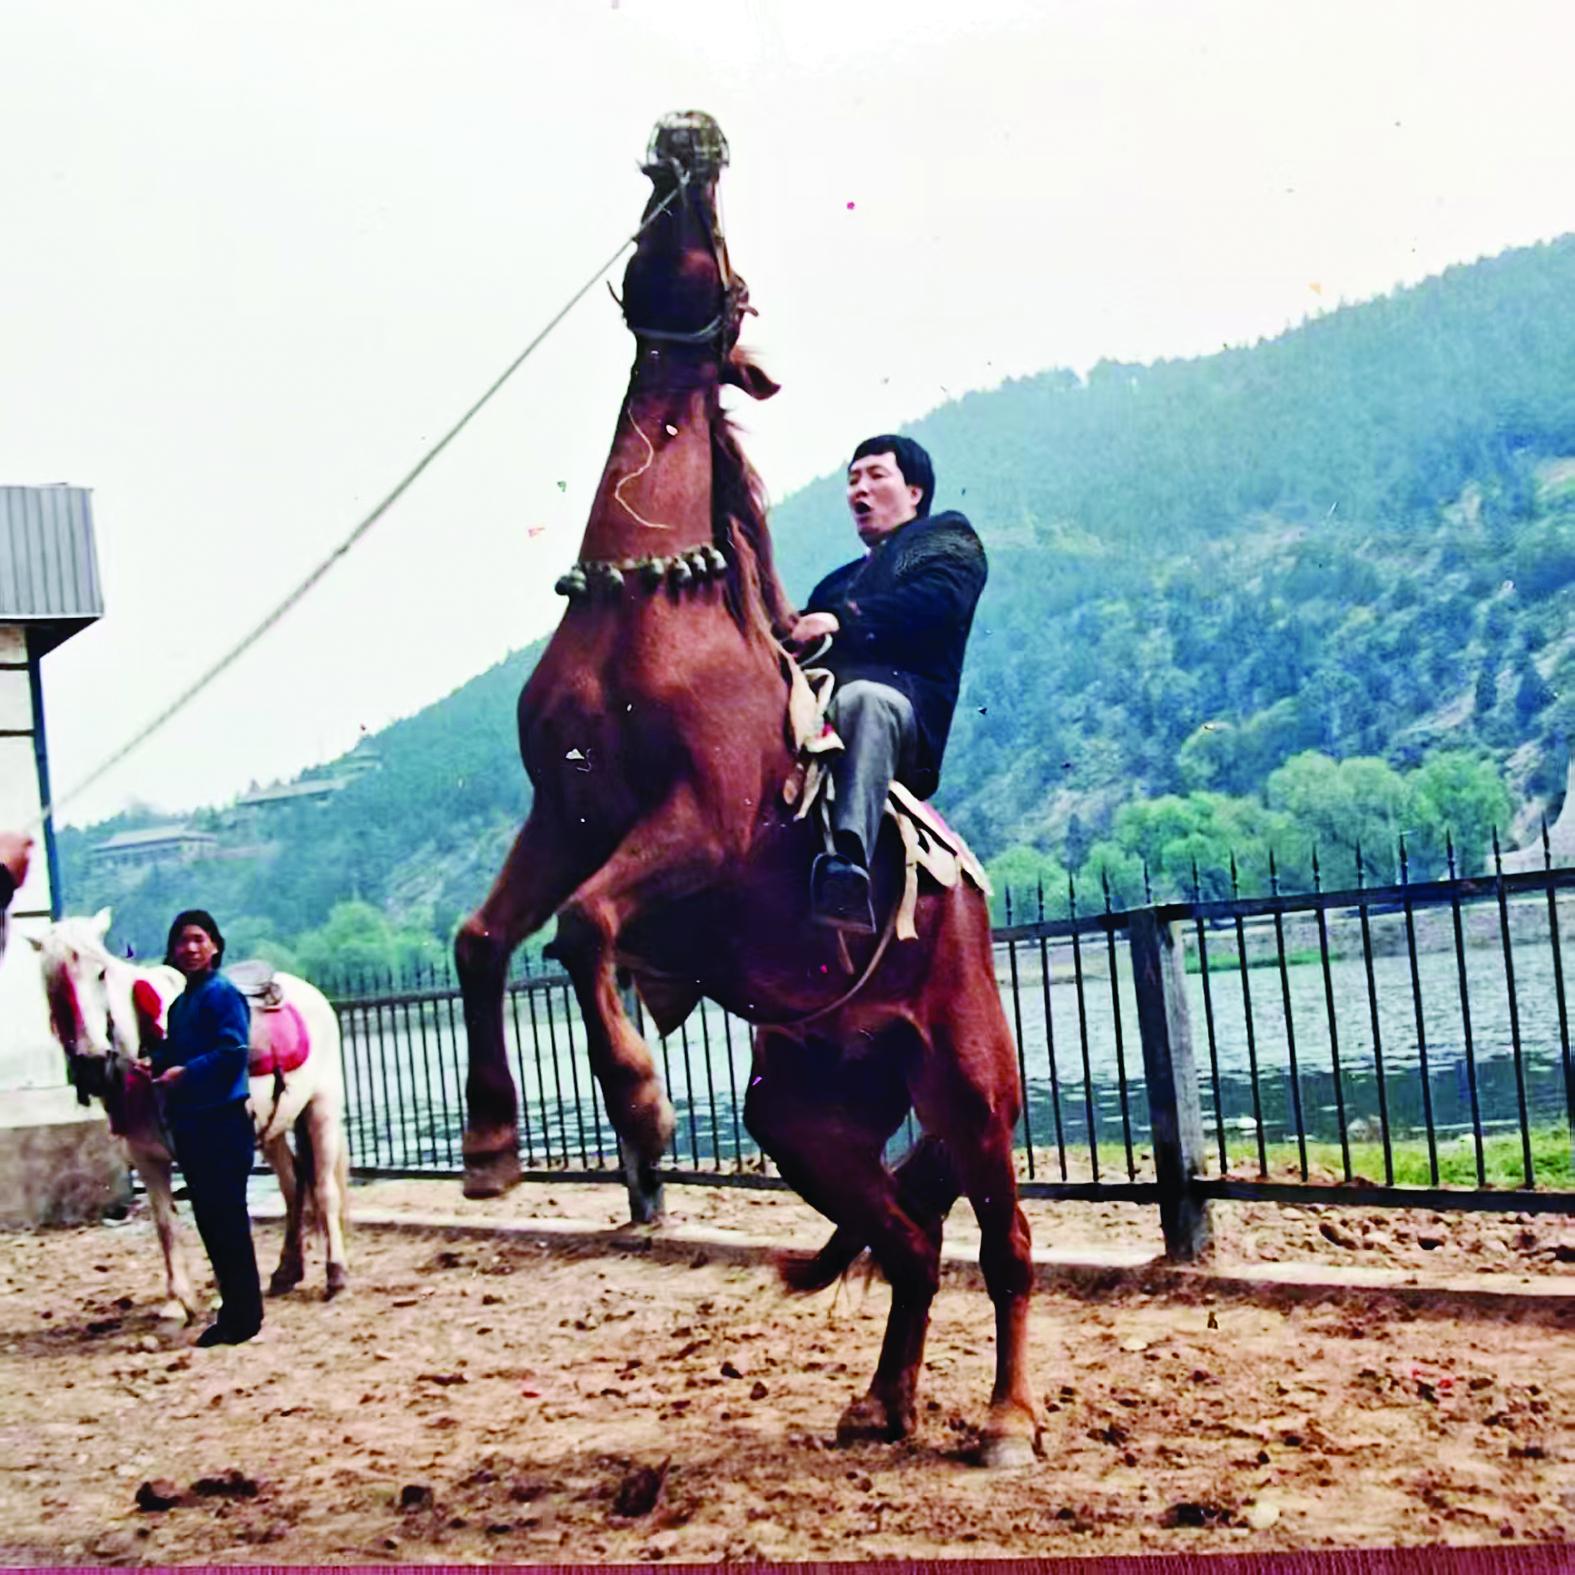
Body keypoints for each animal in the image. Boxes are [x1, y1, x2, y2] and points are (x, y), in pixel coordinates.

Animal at [32, 910, 350, 1320]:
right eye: (52, 983)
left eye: (101, 973)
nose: (92, 1064)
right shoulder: (146, 1157)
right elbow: (166, 1223)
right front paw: (178, 1300)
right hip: (273, 1129)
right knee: (293, 1184)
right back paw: (286, 1271)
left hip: (321, 1108)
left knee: (325, 1189)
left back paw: (336, 1274)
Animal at [454, 112, 1037, 1467]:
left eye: (716, 243)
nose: (688, 137)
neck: (647, 606)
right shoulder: (562, 817)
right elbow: (483, 938)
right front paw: (494, 1144)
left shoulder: (697, 831)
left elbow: (583, 929)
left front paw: (639, 1099)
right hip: (809, 1116)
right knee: (909, 1241)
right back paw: (882, 1403)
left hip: (970, 1089)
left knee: (1006, 1246)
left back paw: (1005, 1420)